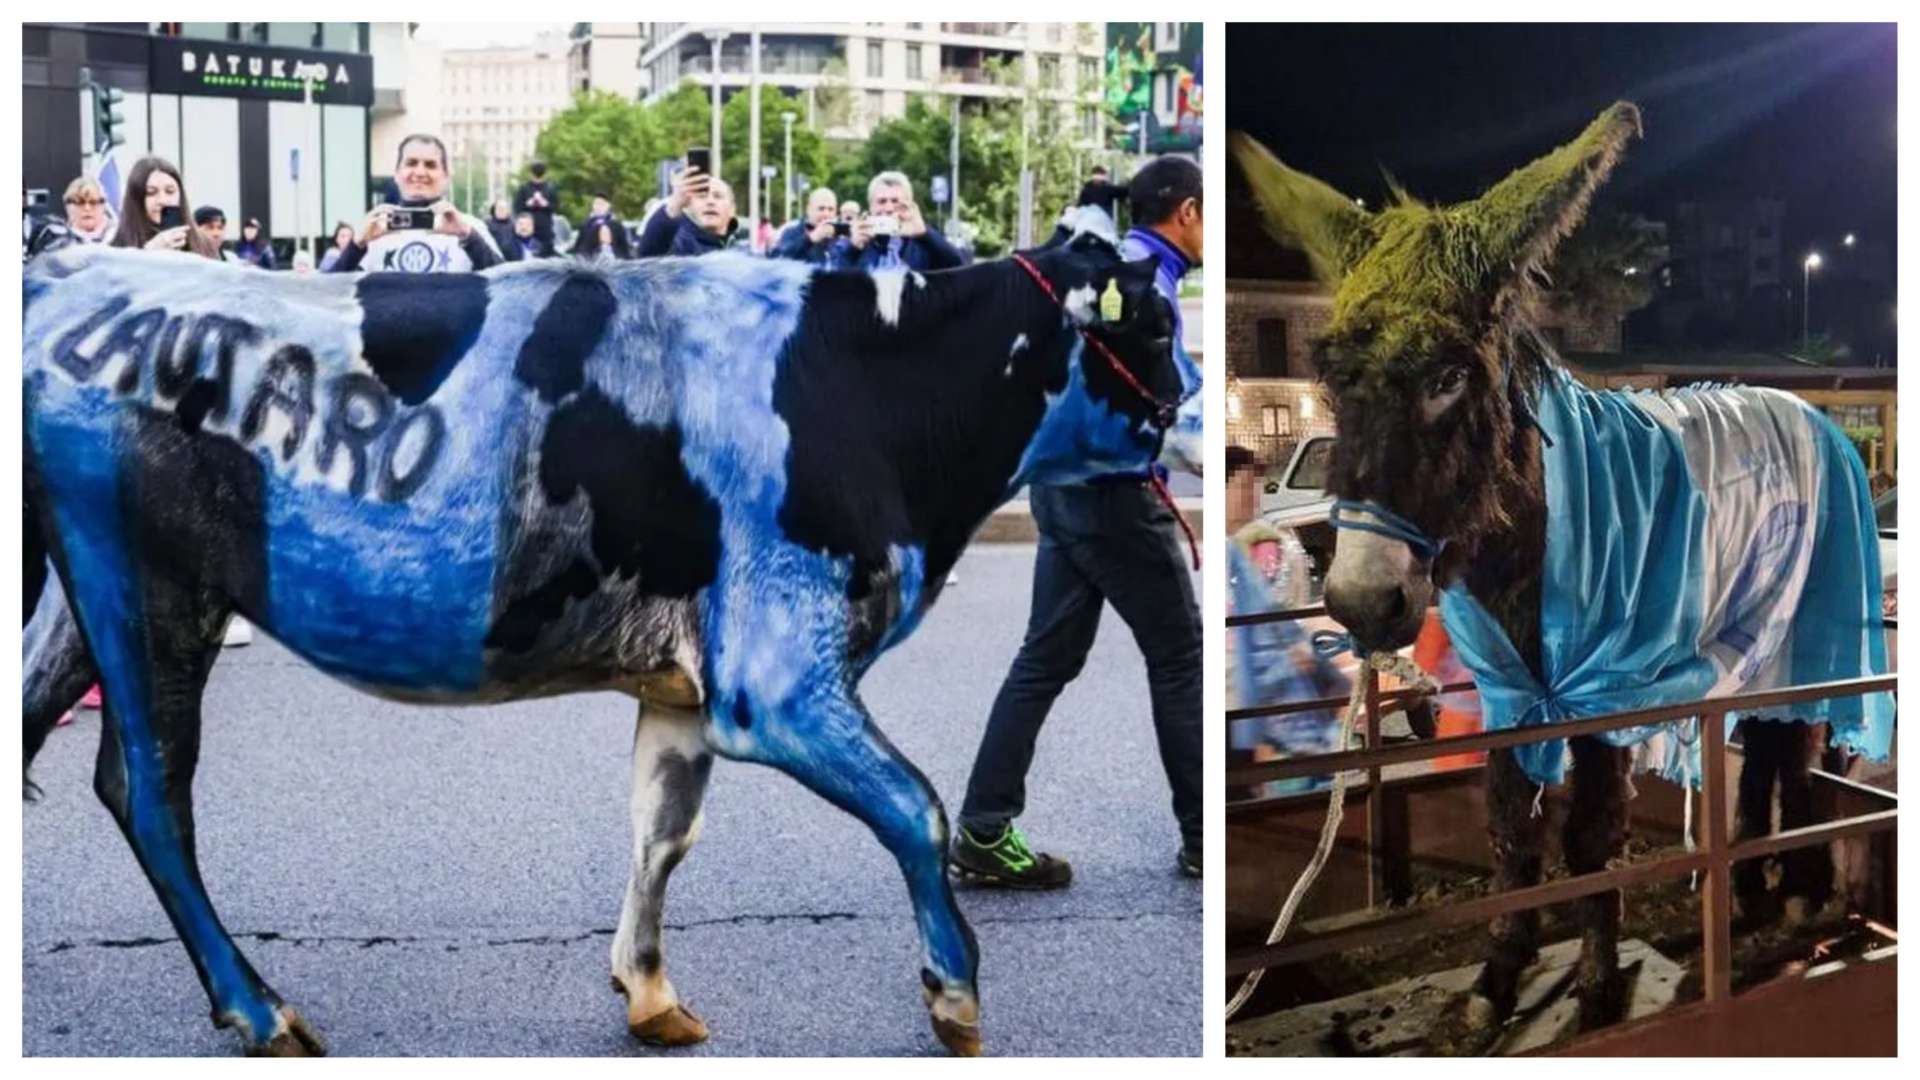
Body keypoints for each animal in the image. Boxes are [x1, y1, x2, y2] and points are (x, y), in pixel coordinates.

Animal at [18, 219, 1198, 1053]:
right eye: (1151, 324)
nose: (1184, 401)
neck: (866, 394)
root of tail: (65, 270)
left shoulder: (684, 689)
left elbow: (662, 832)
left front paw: (649, 990)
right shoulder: (773, 678)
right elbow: (914, 804)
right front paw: (954, 994)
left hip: (80, 593)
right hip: (147, 582)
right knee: (147, 789)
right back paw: (261, 1010)